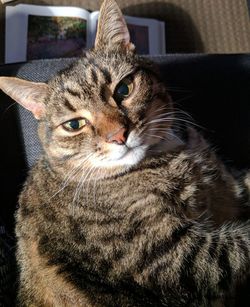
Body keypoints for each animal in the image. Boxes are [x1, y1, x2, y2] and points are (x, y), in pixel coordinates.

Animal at [0, 0, 250, 306]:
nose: (118, 135)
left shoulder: (229, 183)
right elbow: (239, 245)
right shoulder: (174, 258)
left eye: (123, 89)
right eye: (74, 125)